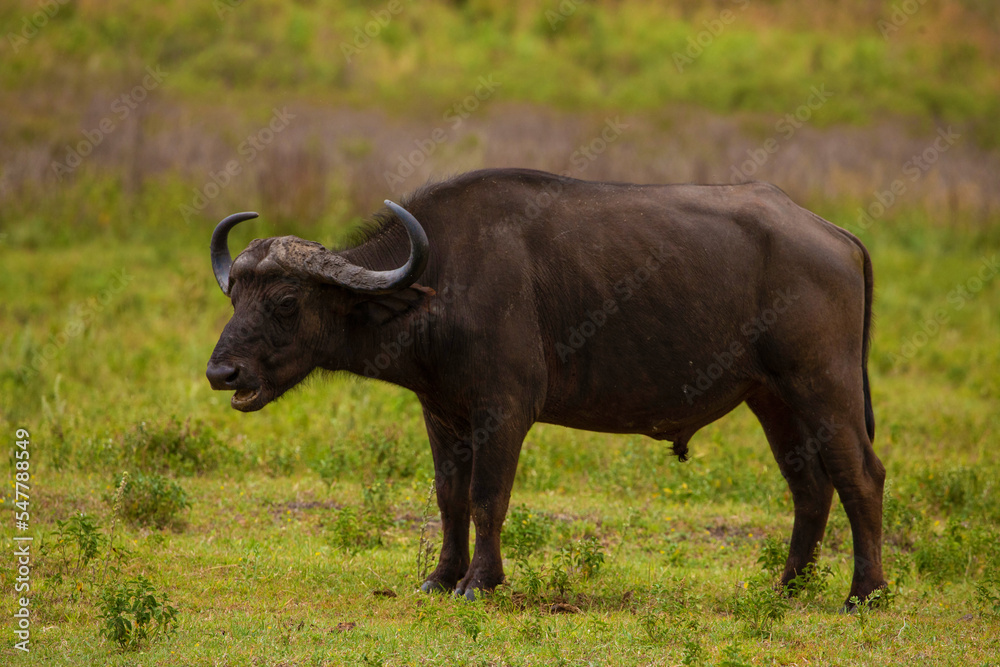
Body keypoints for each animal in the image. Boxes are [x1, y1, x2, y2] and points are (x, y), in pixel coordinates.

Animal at [203, 168, 884, 612]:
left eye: (287, 302)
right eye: (235, 296)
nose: (222, 374)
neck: (442, 280)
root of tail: (837, 237)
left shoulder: (503, 411)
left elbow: (487, 497)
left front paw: (480, 583)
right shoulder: (440, 414)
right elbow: (449, 496)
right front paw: (441, 578)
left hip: (824, 384)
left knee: (860, 474)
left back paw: (864, 593)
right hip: (772, 398)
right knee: (809, 485)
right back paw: (788, 587)